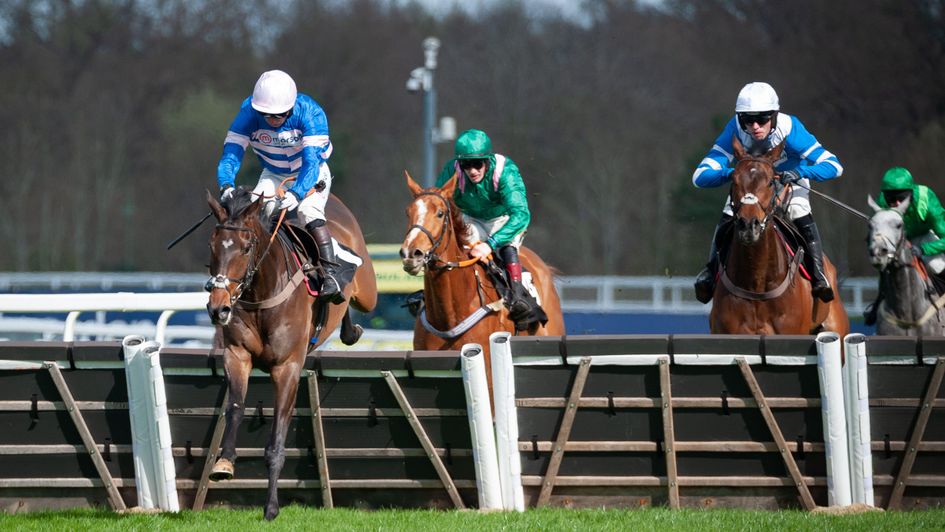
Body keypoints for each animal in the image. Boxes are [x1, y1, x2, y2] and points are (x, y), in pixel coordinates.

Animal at [204, 187, 376, 520]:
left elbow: (276, 442)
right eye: (212, 245)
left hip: (368, 293)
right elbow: (235, 407)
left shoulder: (287, 368)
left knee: (356, 298)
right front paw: (224, 462)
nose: (218, 308)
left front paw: (271, 507)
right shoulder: (237, 355)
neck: (263, 292)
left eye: (246, 248)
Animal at [708, 138, 848, 336]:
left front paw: (791, 174)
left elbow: (830, 161)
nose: (749, 225)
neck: (756, 281)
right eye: (734, 181)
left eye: (769, 183)